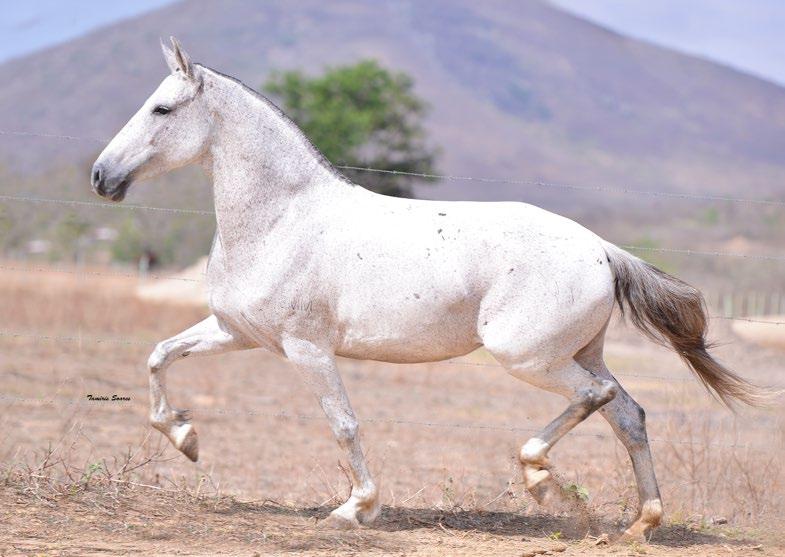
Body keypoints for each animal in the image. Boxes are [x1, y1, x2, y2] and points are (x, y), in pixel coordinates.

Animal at [90, 39, 764, 540]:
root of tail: (601, 248)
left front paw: (355, 509)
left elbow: (344, 424)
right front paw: (187, 439)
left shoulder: (307, 349)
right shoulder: (238, 332)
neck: (282, 218)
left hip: (529, 357)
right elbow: (158, 356)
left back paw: (544, 483)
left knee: (596, 399)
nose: (101, 176)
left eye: (162, 110)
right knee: (629, 413)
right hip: (579, 352)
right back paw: (638, 525)